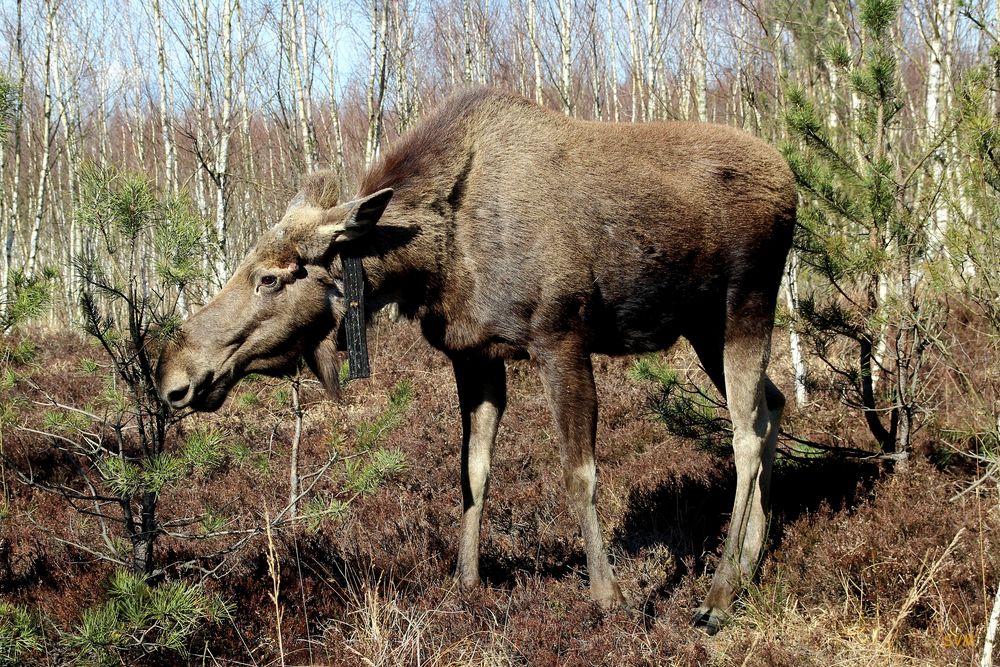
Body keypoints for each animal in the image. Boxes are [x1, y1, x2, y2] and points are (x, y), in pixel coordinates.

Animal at [156, 87, 796, 632]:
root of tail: (791, 181)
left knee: (745, 433)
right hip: (704, 326)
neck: (430, 260)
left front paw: (608, 595)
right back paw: (749, 564)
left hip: (746, 303)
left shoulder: (560, 339)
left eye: (269, 277)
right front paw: (467, 581)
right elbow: (473, 471)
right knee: (773, 404)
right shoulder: (474, 356)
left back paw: (718, 596)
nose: (171, 376)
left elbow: (579, 474)